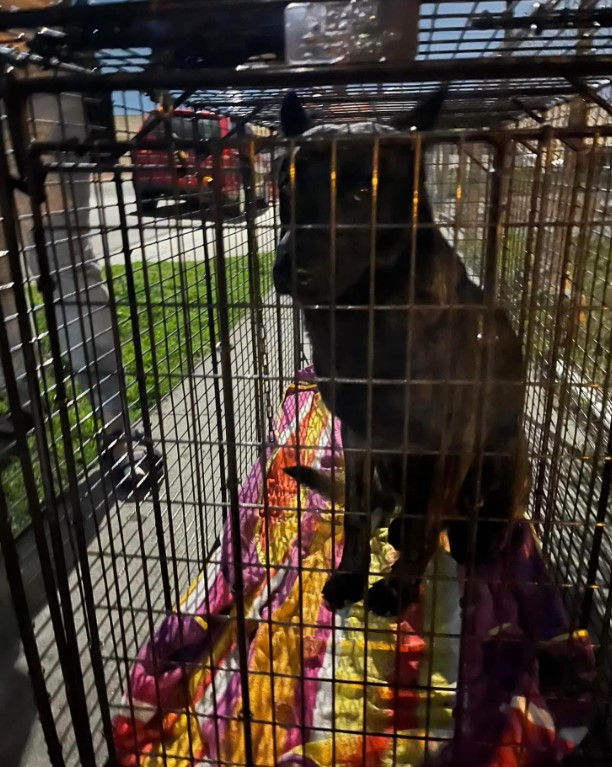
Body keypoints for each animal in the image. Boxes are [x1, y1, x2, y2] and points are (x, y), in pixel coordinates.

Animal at [274, 90, 528, 616]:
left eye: (360, 193)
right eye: (287, 184)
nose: (289, 270)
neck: (364, 313)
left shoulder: (448, 445)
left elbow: (427, 529)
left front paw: (399, 588)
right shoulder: (357, 436)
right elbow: (354, 514)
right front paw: (351, 574)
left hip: (506, 456)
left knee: (470, 527)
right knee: (388, 511)